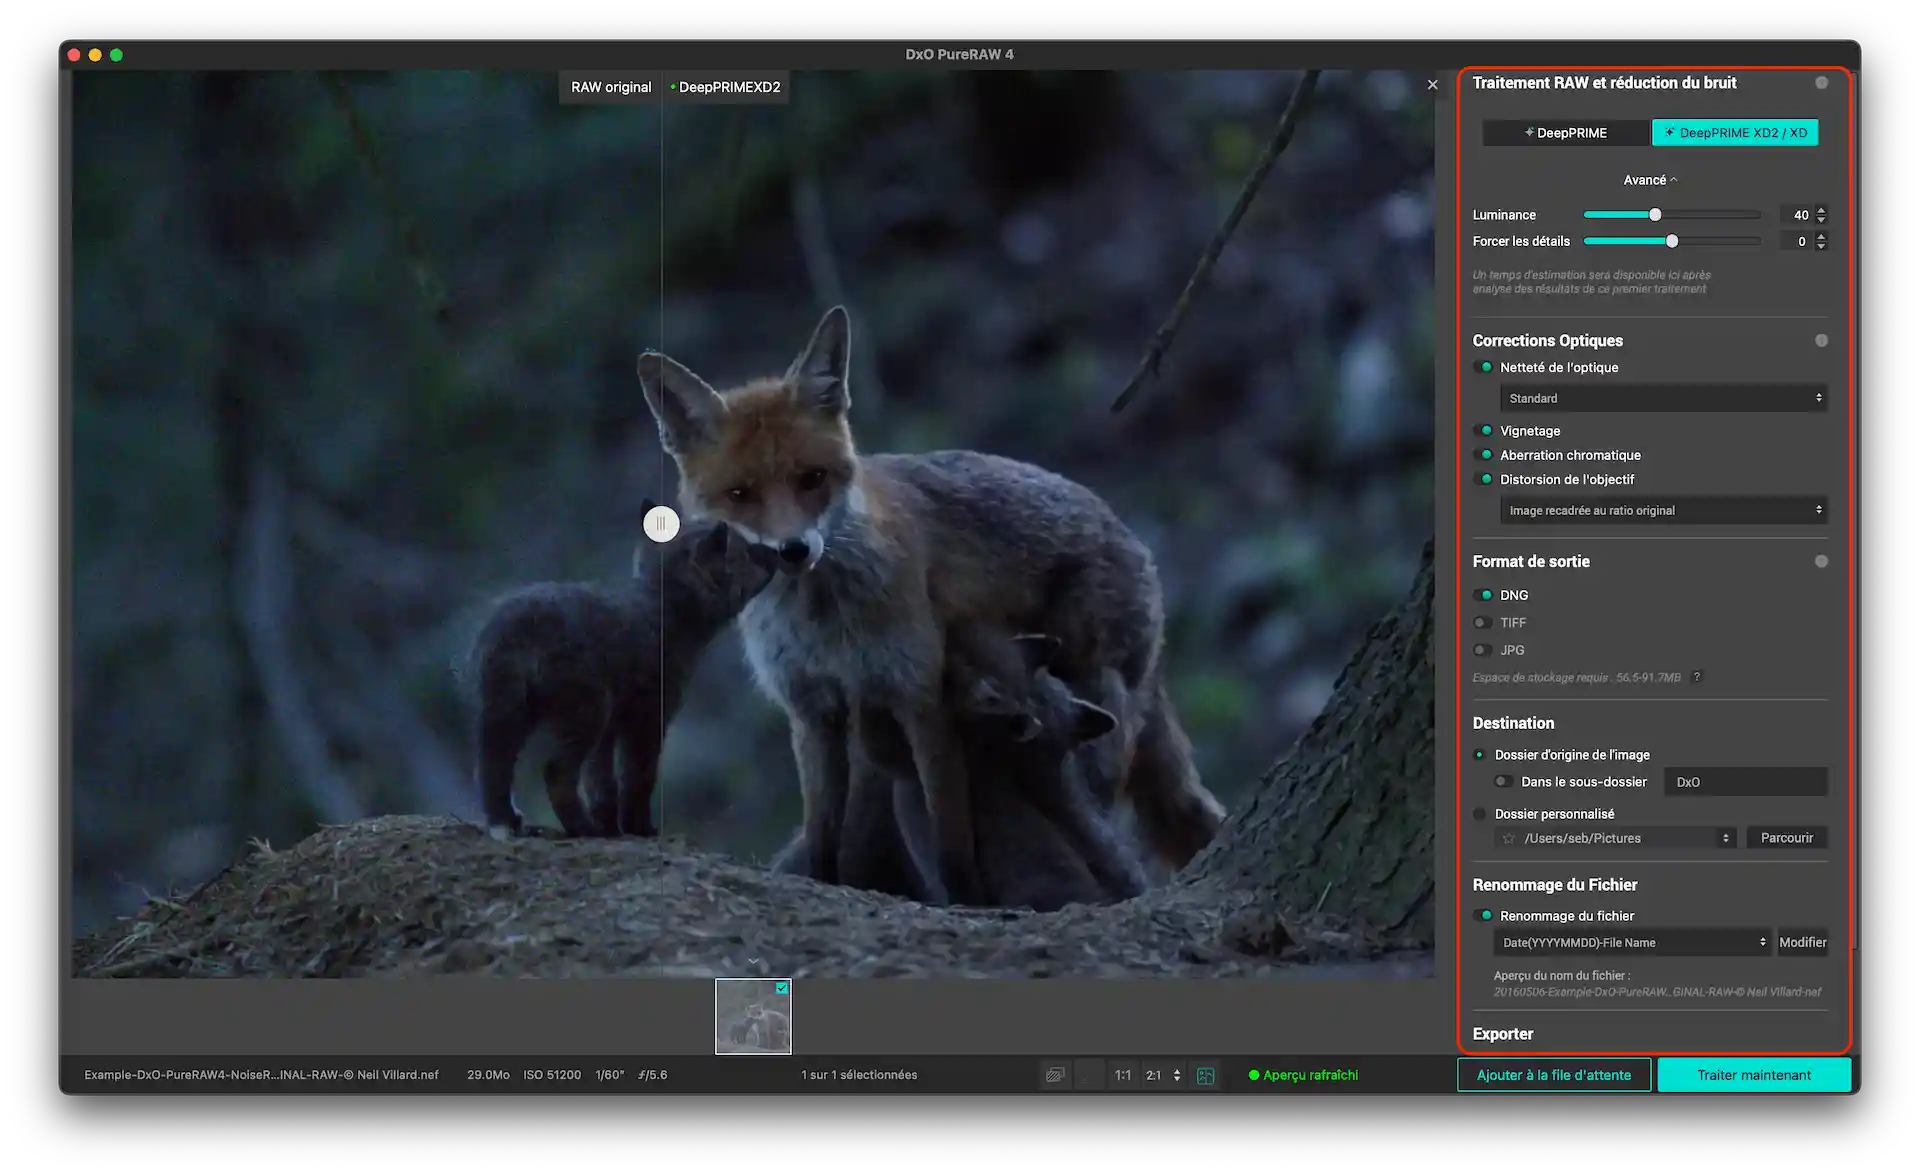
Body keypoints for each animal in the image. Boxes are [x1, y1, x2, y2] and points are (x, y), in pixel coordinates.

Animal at [461, 506, 779, 841]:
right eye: (746, 551)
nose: (780, 551)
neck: (665, 610)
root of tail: (519, 628)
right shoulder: (647, 719)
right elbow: (638, 779)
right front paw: (639, 828)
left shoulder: (610, 731)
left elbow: (602, 785)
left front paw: (610, 826)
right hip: (587, 712)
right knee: (555, 773)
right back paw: (582, 829)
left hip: (508, 714)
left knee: (491, 768)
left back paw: (510, 821)